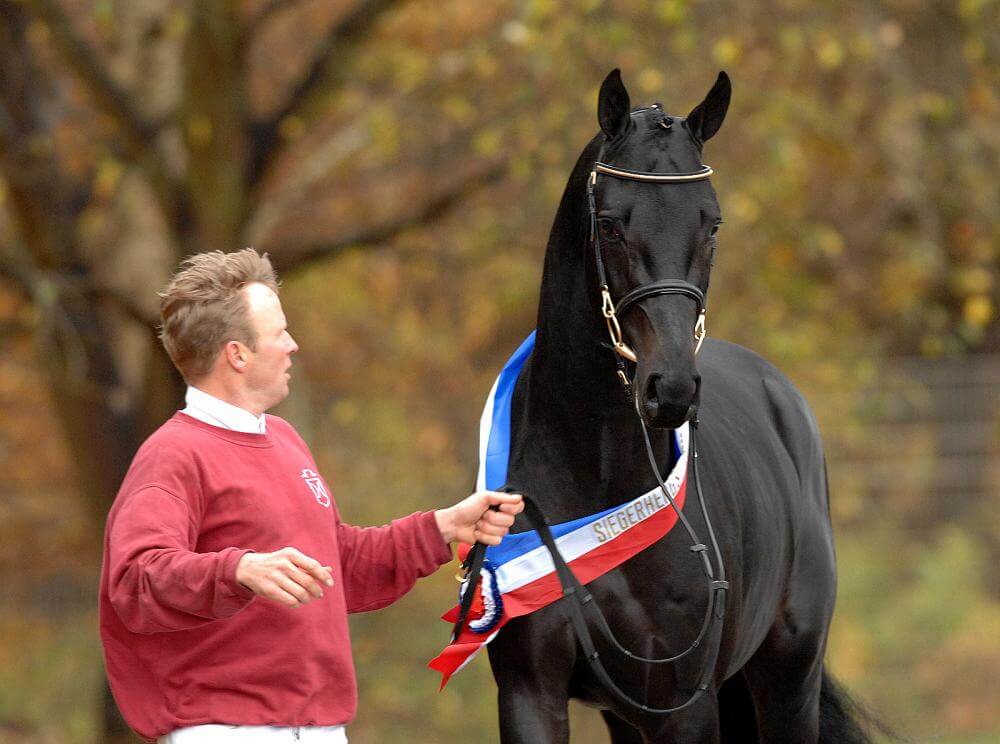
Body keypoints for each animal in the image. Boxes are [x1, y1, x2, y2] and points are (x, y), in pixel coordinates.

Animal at [483, 69, 874, 743]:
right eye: (611, 223)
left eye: (711, 224)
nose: (671, 388)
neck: (596, 476)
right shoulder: (531, 694)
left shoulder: (685, 707)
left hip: (787, 682)